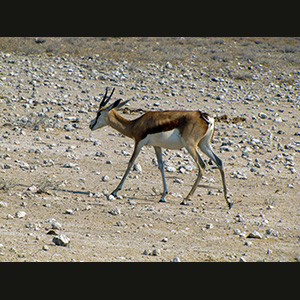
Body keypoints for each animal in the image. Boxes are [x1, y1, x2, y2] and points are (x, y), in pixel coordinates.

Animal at [88, 87, 233, 209]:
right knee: (219, 162)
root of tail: (204, 116)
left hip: (190, 146)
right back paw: (228, 201)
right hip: (204, 145)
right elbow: (161, 166)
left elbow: (130, 163)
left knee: (202, 166)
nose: (90, 125)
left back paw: (186, 199)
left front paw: (115, 191)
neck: (135, 124)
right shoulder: (156, 146)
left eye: (99, 113)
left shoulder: (139, 143)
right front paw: (163, 196)